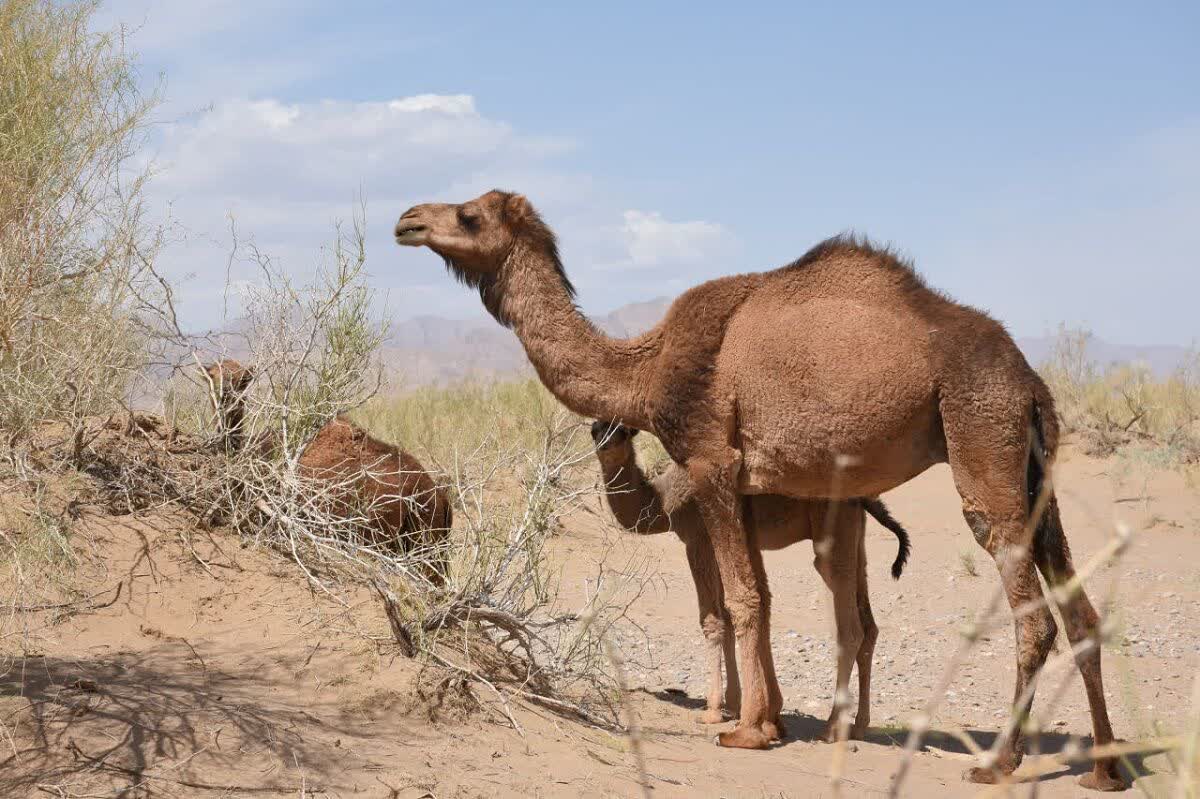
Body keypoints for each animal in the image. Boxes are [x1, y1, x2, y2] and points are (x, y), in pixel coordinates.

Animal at [590, 420, 911, 741]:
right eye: (595, 430)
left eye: (621, 432)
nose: (604, 442)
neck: (665, 499)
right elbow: (737, 615)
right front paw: (738, 705)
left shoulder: (697, 539)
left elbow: (714, 620)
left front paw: (713, 710)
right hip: (857, 536)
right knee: (869, 625)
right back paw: (859, 724)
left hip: (833, 529)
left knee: (849, 623)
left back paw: (833, 727)